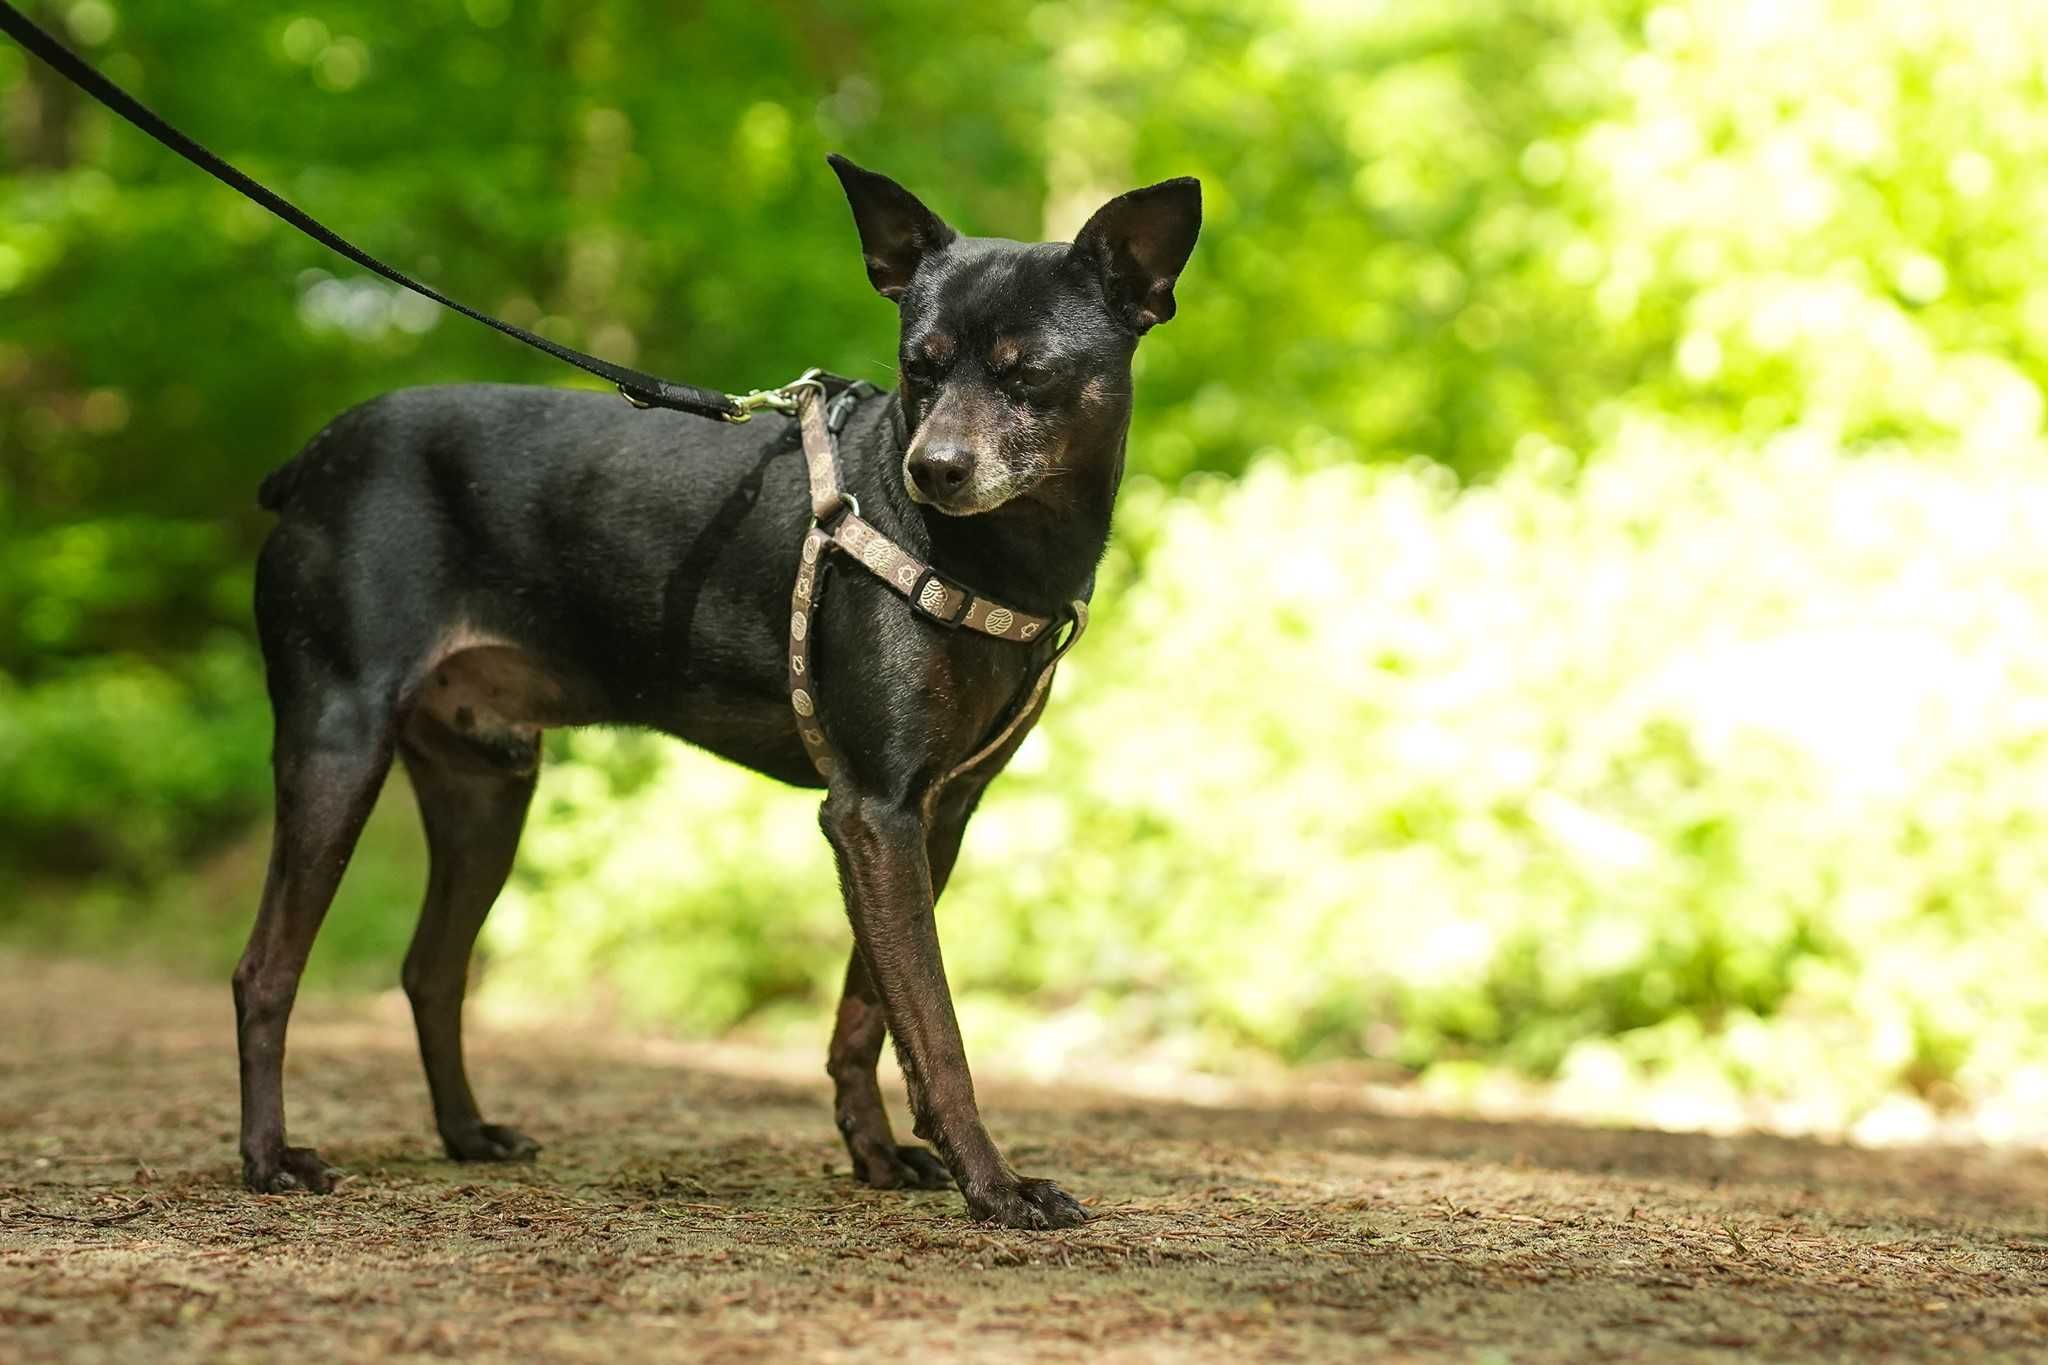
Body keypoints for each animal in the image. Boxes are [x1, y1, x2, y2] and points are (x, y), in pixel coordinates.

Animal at [237, 154, 1196, 1236]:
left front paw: (875, 1153)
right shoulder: (872, 814)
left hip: (487, 785)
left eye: (1025, 371)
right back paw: (269, 1157)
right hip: (337, 745)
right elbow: (937, 1026)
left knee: (431, 971)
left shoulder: (933, 816)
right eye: (919, 368)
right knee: (264, 971)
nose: (934, 469)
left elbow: (869, 1012)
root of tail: (312, 460)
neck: (993, 555)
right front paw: (993, 1185)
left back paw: (467, 1135)